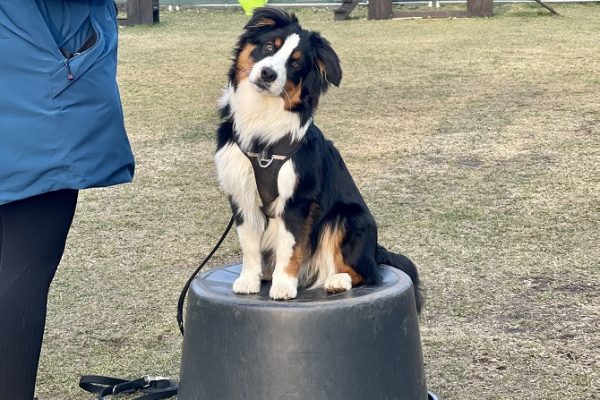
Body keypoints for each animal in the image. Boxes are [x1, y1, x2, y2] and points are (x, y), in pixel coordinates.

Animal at [216, 7, 422, 310]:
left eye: (296, 64)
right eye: (269, 47)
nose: (268, 74)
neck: (262, 132)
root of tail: (375, 250)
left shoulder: (298, 200)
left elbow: (290, 247)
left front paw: (284, 285)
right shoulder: (241, 195)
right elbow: (250, 244)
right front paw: (249, 280)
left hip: (346, 217)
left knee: (366, 273)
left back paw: (337, 280)